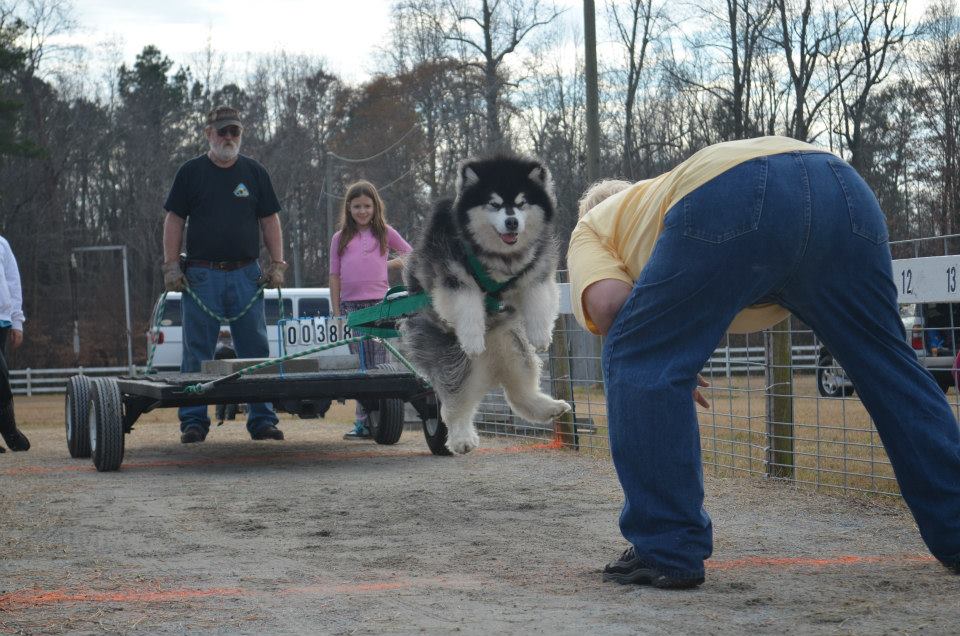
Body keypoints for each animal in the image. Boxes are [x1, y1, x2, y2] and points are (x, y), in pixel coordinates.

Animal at [398, 155, 568, 454]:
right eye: (494, 204)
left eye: (522, 203)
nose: (512, 222)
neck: (498, 256)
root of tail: (489, 368)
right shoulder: (450, 273)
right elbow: (467, 305)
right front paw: (473, 338)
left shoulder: (537, 268)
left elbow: (537, 296)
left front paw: (540, 335)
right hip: (454, 361)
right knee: (454, 405)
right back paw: (461, 438)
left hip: (514, 347)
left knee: (519, 393)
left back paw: (547, 407)